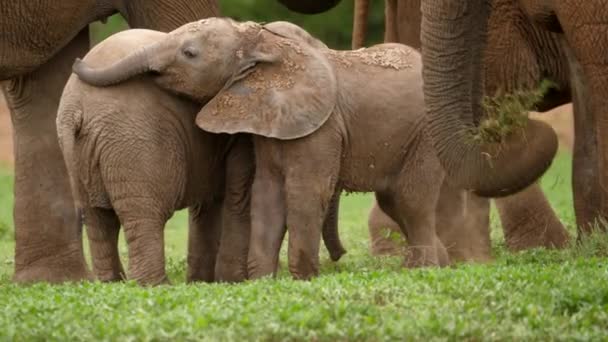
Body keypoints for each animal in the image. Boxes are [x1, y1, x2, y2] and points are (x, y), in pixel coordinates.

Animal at [57, 28, 254, 286]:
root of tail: (74, 110)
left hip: (81, 154)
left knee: (98, 217)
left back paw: (114, 282)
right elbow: (236, 193)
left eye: (189, 53)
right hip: (133, 140)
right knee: (146, 215)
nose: (77, 62)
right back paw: (157, 286)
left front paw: (204, 282)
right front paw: (232, 282)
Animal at [73, 18, 448, 280]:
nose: (76, 61)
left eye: (189, 53)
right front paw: (264, 281)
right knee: (394, 201)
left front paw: (303, 279)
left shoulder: (321, 128)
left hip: (425, 135)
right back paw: (439, 265)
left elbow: (304, 192)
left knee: (411, 199)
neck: (264, 43)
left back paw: (422, 270)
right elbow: (267, 193)